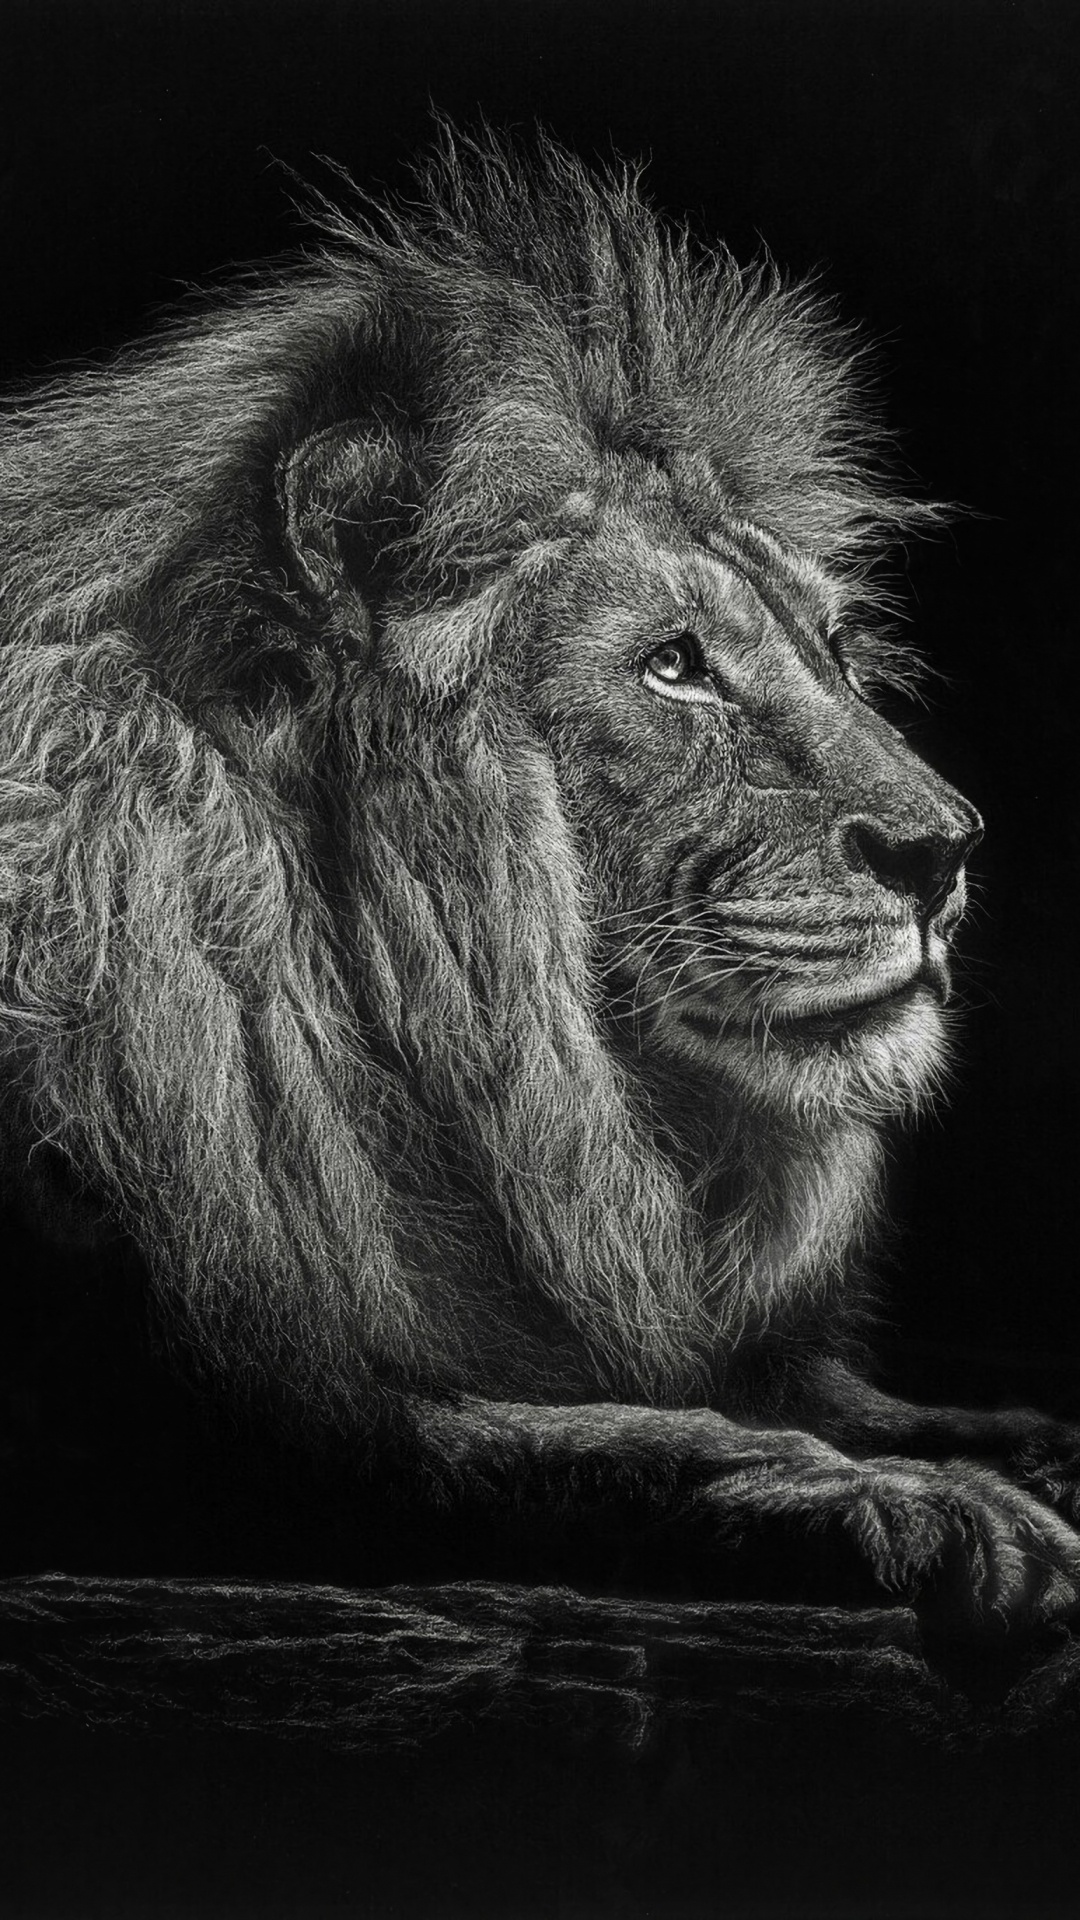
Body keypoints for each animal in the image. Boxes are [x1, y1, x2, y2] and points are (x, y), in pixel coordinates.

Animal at [2, 128, 1078, 1625]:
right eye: (672, 666)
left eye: (835, 649)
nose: (946, 849)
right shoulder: (262, 1424)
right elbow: (620, 1443)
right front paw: (915, 1502)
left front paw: (998, 1441)